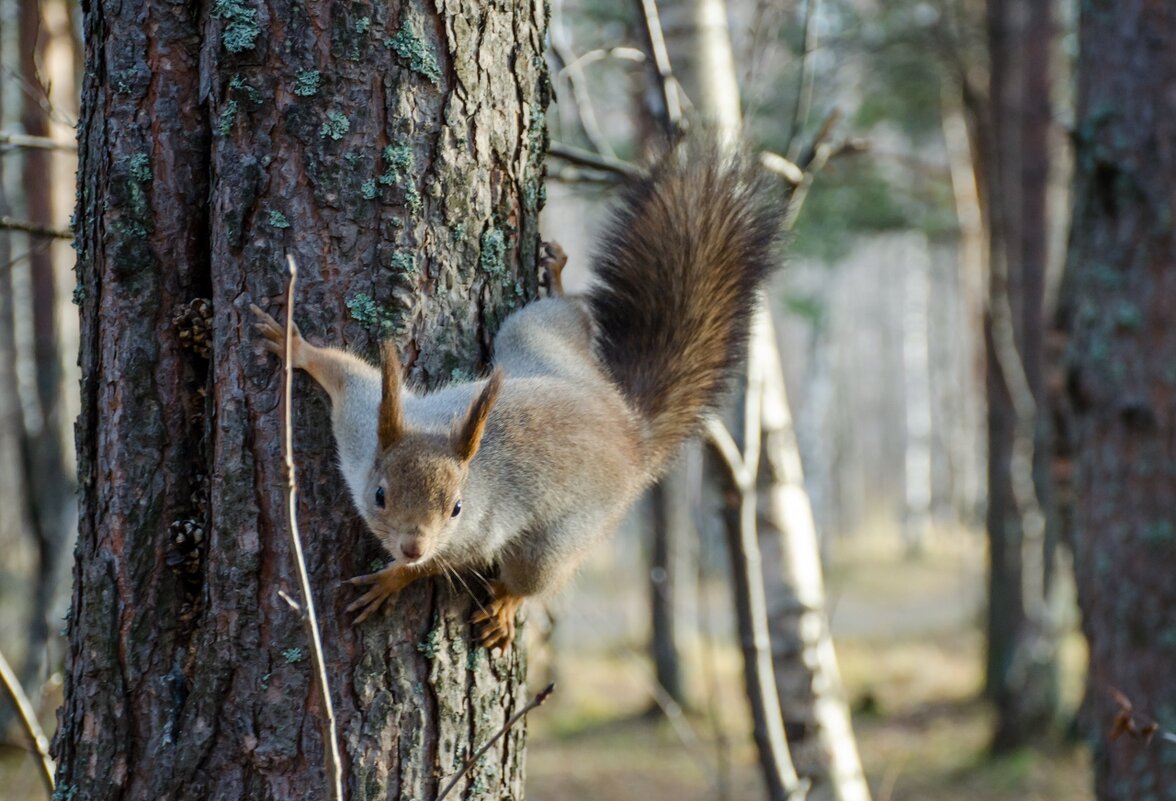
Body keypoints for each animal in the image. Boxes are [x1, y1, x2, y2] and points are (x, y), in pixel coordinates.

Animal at [251, 137, 780, 649]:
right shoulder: (360, 422)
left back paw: (505, 605)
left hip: (560, 536)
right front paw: (294, 345)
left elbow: (441, 565)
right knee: (570, 316)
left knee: (532, 576)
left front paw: (394, 578)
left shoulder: (479, 531)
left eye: (457, 508)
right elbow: (342, 371)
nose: (412, 545)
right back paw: (559, 280)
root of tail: (630, 432)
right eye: (380, 495)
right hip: (536, 337)